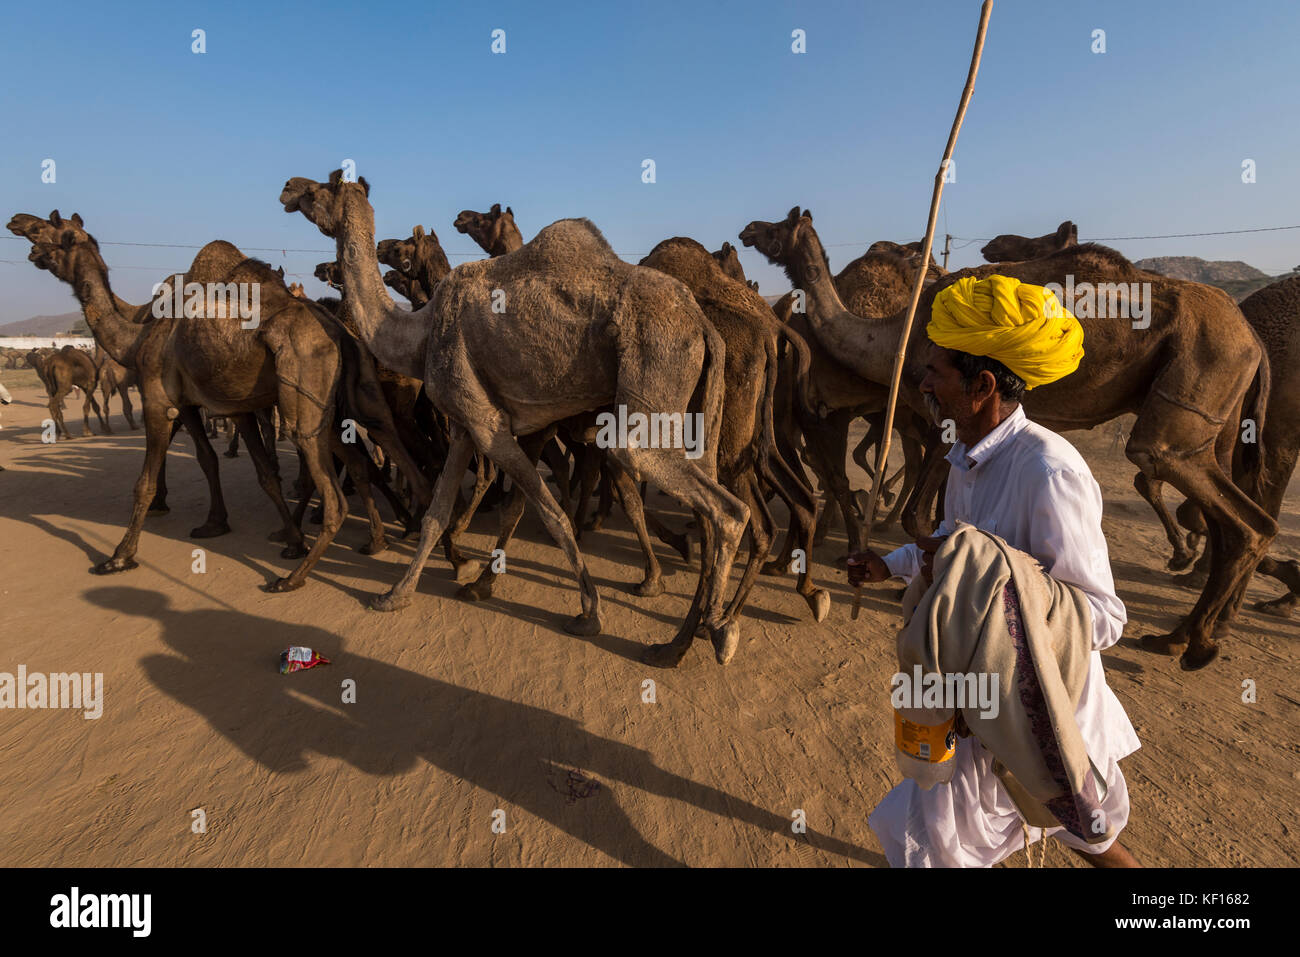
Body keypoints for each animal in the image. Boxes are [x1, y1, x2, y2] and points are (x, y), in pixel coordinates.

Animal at [284, 171, 754, 660]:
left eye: (318, 190)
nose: (288, 188)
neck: (420, 332)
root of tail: (703, 325)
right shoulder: (465, 426)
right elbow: (439, 512)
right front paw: (397, 593)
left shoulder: (488, 426)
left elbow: (550, 513)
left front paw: (589, 612)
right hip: (698, 405)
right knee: (707, 502)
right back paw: (685, 634)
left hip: (654, 378)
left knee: (723, 507)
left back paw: (718, 629)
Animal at [748, 205, 1274, 670]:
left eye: (779, 225)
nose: (748, 229)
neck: (893, 334)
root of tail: (1253, 339)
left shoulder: (944, 416)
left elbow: (924, 515)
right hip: (1214, 420)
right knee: (1236, 519)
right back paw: (1186, 634)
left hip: (1190, 391)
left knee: (1208, 497)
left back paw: (1196, 641)